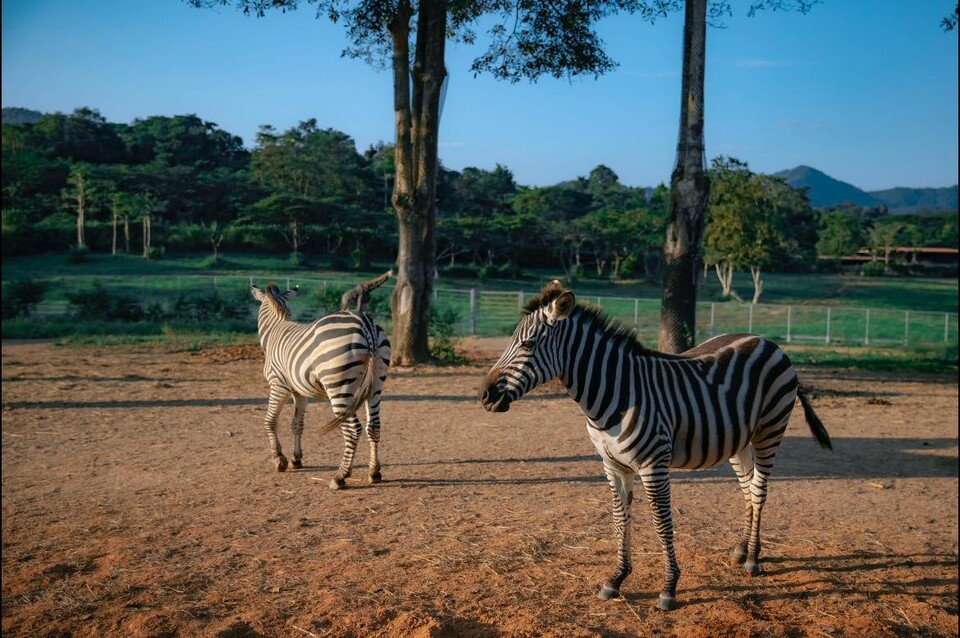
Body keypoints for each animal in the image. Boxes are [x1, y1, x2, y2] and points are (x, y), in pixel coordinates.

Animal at [255, 284, 394, 490]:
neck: (275, 329)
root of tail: (365, 322)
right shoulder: (300, 392)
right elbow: (297, 424)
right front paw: (296, 459)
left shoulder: (278, 384)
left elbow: (269, 420)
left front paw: (279, 459)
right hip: (376, 382)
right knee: (374, 426)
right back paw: (374, 472)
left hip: (338, 386)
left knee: (353, 430)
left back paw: (340, 477)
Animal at [480, 282, 832, 612]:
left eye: (527, 344)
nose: (484, 395)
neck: (615, 392)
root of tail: (765, 341)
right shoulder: (612, 465)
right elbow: (620, 518)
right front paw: (616, 579)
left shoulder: (653, 464)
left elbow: (662, 523)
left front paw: (669, 587)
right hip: (738, 440)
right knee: (747, 489)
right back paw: (742, 549)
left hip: (770, 430)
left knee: (759, 491)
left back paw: (754, 559)